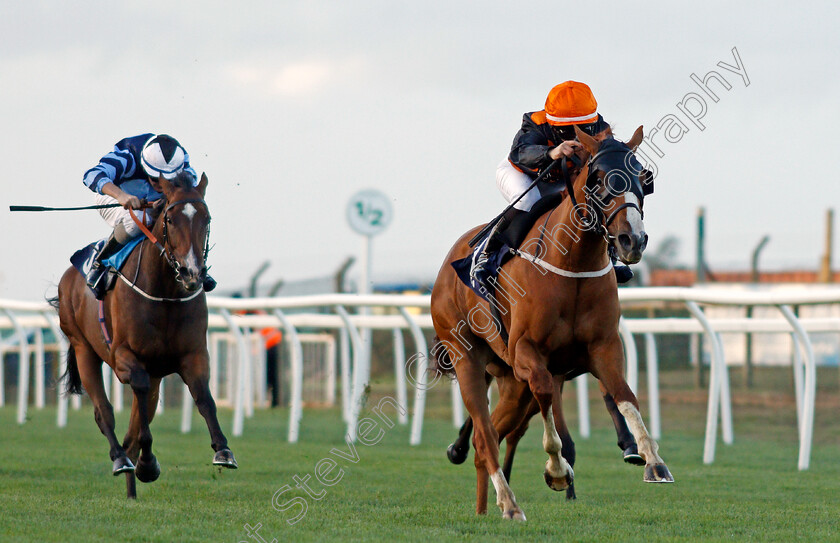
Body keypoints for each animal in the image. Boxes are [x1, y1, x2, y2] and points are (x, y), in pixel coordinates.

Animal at [53, 172, 236, 500]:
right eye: (171, 219)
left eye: (206, 218)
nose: (192, 273)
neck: (164, 293)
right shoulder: (125, 357)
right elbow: (137, 407)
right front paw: (148, 465)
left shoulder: (192, 355)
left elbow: (204, 397)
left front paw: (223, 450)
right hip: (83, 347)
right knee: (104, 412)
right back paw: (121, 460)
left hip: (154, 373)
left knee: (136, 423)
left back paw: (131, 487)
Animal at [430, 125, 672, 520]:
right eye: (598, 178)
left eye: (644, 177)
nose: (631, 240)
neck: (572, 265)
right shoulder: (529, 354)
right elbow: (547, 396)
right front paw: (558, 472)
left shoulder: (603, 347)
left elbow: (625, 395)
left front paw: (652, 461)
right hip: (468, 357)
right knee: (485, 434)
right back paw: (509, 503)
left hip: (512, 382)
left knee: (491, 437)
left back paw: (488, 509)